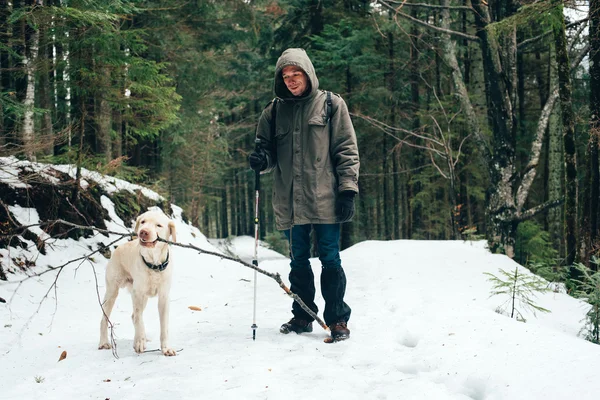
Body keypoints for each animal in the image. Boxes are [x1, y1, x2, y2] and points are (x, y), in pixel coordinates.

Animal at [98, 209, 177, 356]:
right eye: (143, 222)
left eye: (158, 225)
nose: (143, 232)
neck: (154, 264)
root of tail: (119, 247)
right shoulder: (137, 294)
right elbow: (139, 319)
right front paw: (140, 342)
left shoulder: (164, 297)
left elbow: (164, 326)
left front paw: (165, 348)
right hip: (112, 292)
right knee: (105, 319)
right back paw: (104, 342)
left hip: (143, 298)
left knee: (133, 315)